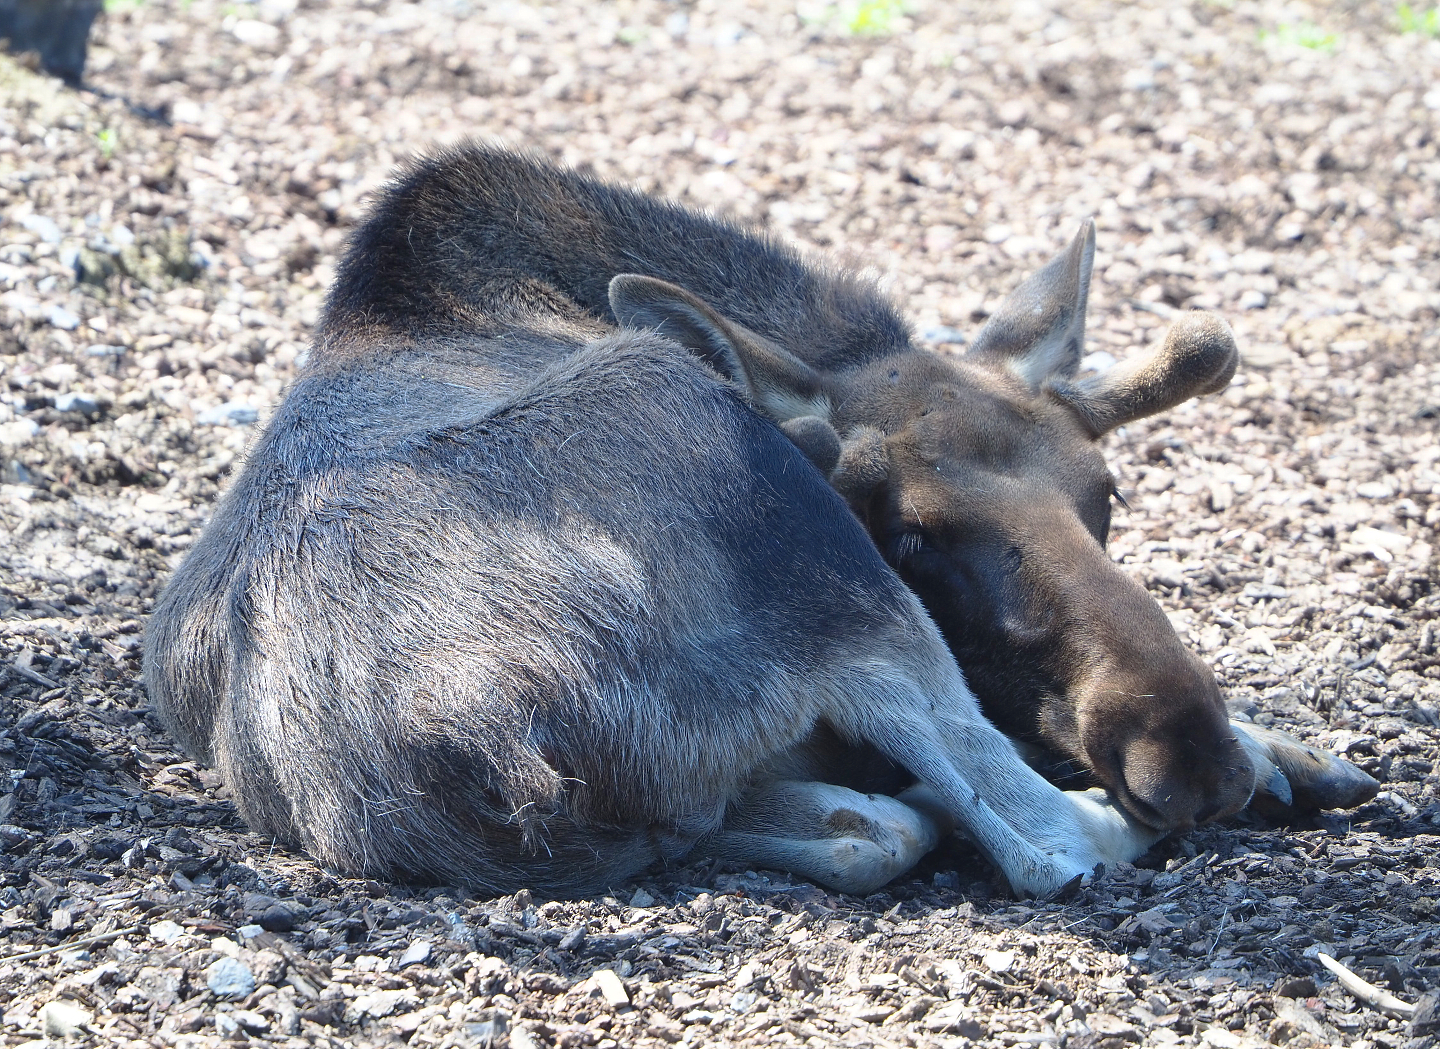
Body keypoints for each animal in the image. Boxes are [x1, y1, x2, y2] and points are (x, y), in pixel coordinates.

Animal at [143, 145, 1377, 898]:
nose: (1189, 753)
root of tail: (490, 740)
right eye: (911, 533)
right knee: (1036, 836)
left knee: (864, 830)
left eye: (1105, 495)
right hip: (807, 548)